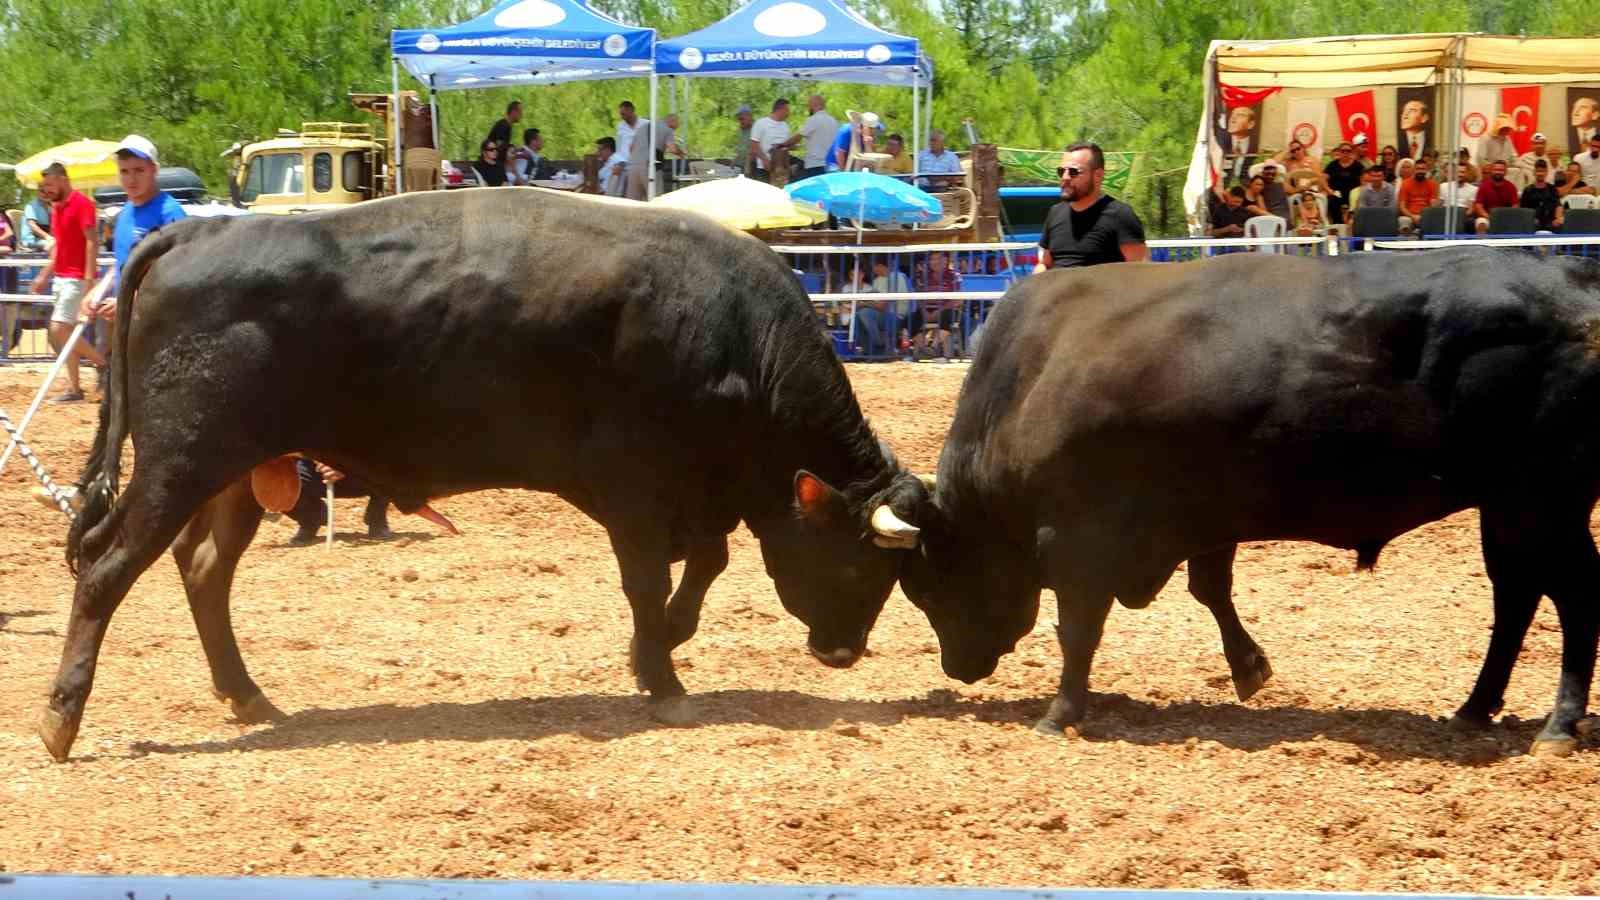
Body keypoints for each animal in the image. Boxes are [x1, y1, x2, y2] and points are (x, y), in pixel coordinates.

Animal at [40, 187, 928, 755]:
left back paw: (247, 693)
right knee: (108, 568)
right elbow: (650, 581)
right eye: (861, 565)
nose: (844, 653)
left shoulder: (695, 496)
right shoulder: (636, 491)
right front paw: (663, 676)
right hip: (181, 463)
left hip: (237, 469)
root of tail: (196, 233)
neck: (735, 336)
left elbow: (703, 565)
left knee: (203, 569)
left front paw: (659, 650)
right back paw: (61, 718)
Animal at [908, 248, 1600, 752]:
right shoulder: (1201, 519)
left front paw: (1061, 713)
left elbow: (1079, 629)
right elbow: (1210, 588)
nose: (957, 666)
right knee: (1516, 597)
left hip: (1541, 503)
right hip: (1511, 509)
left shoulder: (1078, 539)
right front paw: (1249, 667)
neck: (1028, 379)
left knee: (1571, 597)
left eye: (929, 586)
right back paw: (1474, 708)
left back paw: (1558, 725)